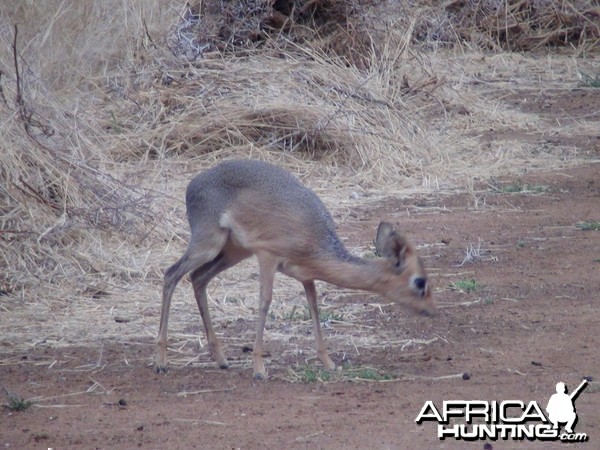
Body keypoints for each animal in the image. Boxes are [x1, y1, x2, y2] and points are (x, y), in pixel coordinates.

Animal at [157, 160, 434, 378]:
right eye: (420, 281)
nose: (430, 310)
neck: (313, 237)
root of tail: (193, 183)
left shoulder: (305, 275)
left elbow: (313, 306)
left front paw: (328, 362)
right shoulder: (267, 257)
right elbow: (265, 302)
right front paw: (259, 368)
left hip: (232, 252)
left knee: (197, 278)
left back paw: (222, 360)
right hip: (208, 244)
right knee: (171, 274)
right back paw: (161, 361)